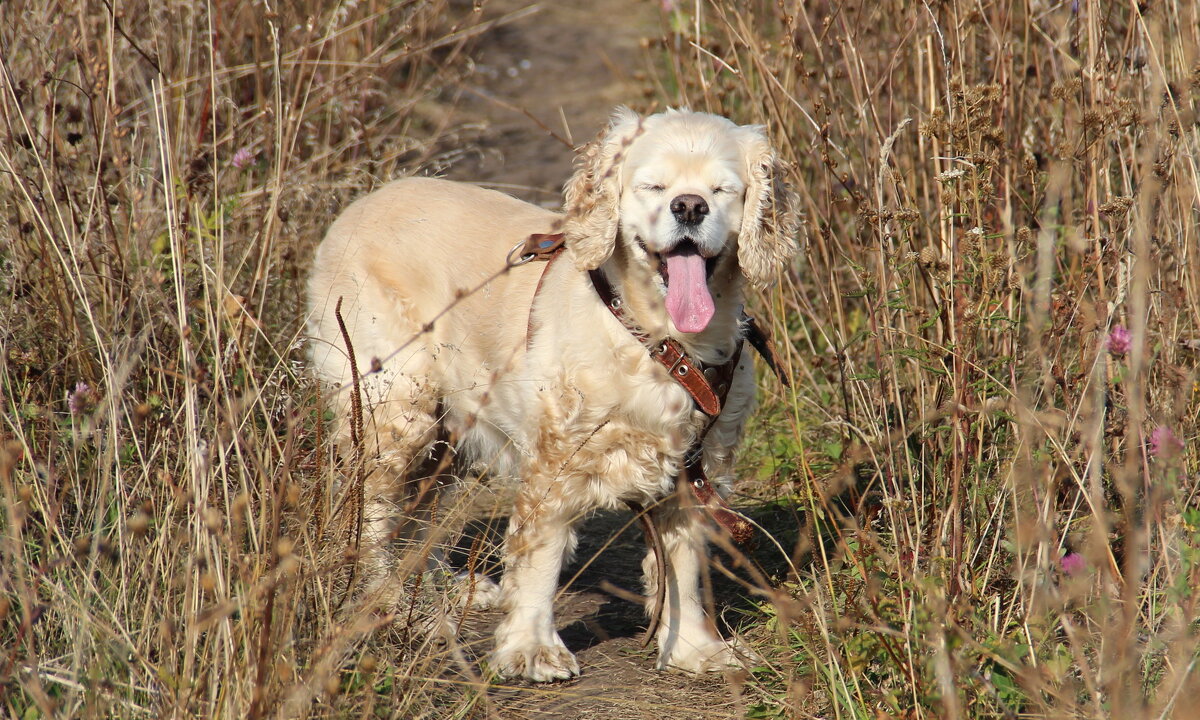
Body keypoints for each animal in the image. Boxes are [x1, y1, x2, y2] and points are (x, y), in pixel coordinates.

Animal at [307, 106, 796, 681]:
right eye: (654, 186)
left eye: (722, 190)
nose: (690, 206)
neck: (658, 341)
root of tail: (361, 203)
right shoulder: (554, 463)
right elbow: (539, 559)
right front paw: (532, 650)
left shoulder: (693, 469)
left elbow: (683, 566)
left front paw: (694, 648)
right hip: (398, 410)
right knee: (375, 513)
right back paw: (388, 601)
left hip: (449, 430)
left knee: (421, 513)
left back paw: (445, 590)